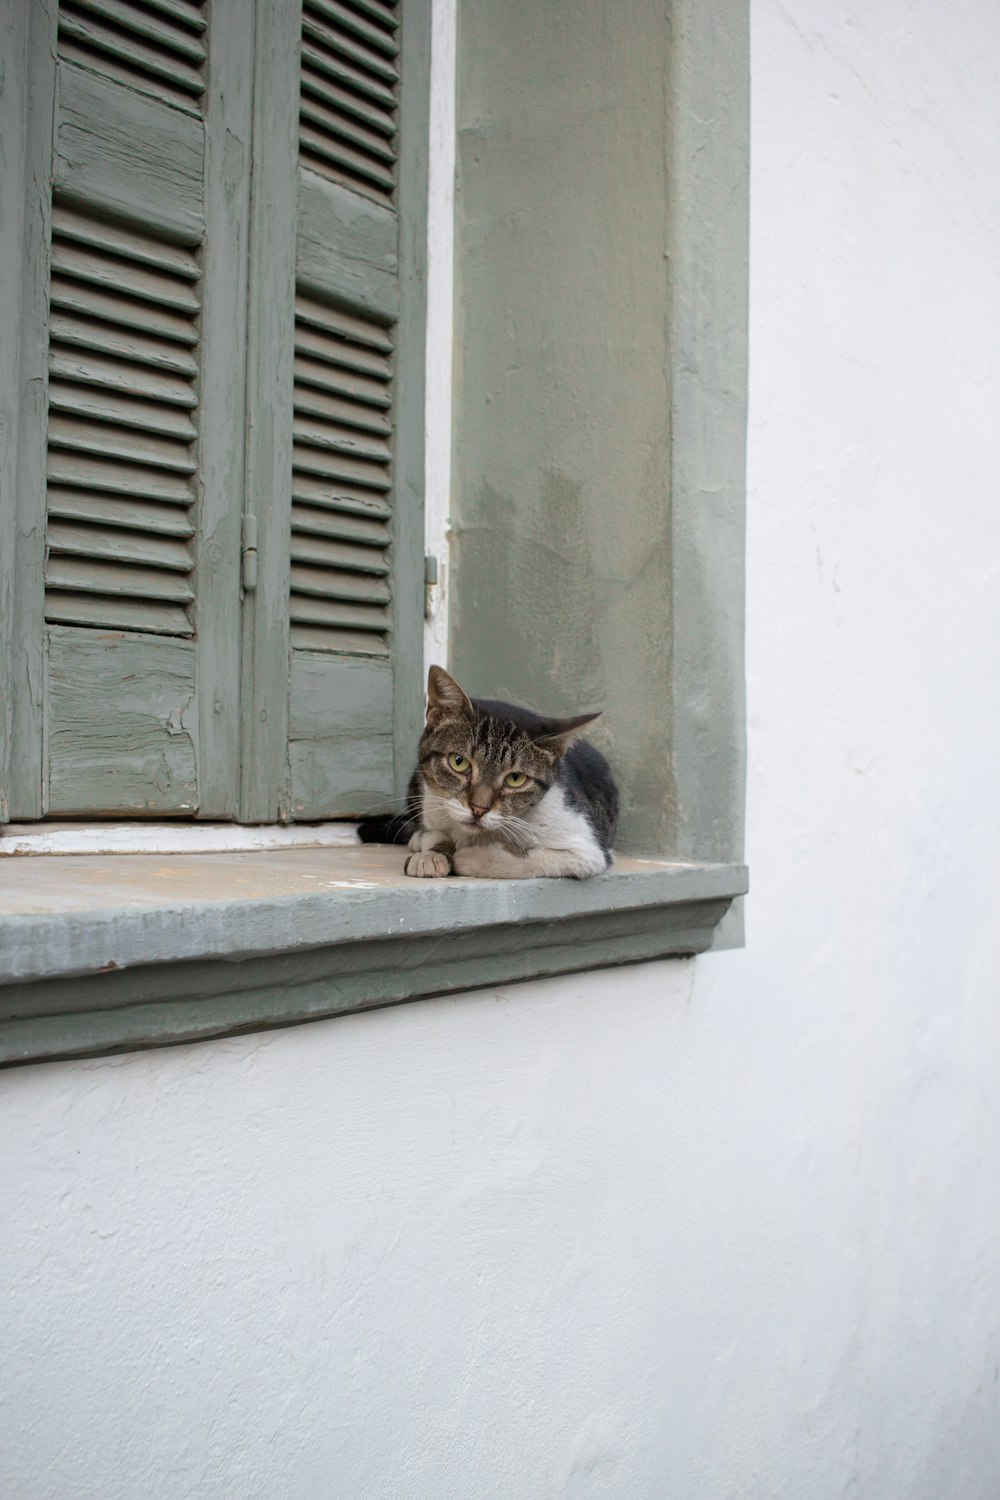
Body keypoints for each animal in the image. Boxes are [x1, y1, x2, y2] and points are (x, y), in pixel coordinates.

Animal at [355, 669, 620, 876]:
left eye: (516, 778)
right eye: (459, 762)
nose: (478, 808)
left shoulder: (587, 849)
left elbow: (530, 857)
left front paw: (471, 858)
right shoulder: (433, 809)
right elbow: (437, 835)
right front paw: (431, 855)